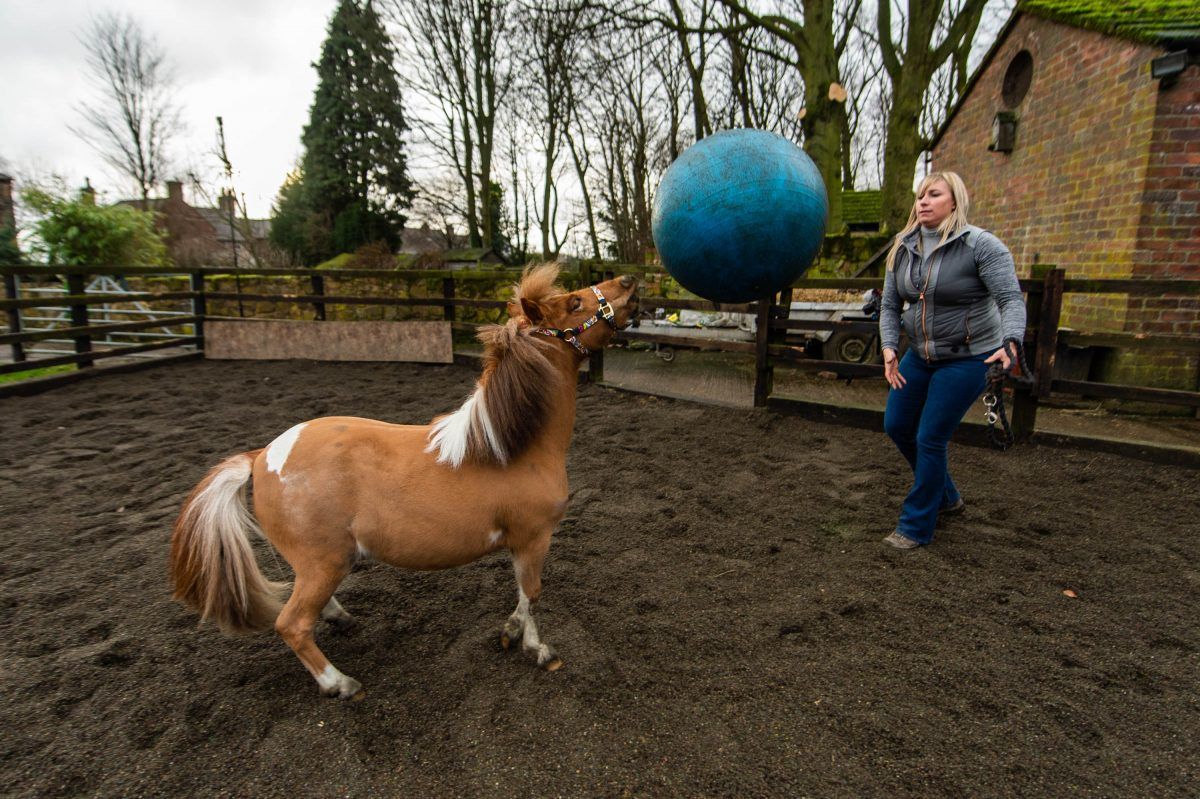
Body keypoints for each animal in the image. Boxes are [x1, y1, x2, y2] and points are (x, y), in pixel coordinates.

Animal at [171, 262, 638, 695]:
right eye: (574, 303)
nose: (629, 281)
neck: (512, 448)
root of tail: (261, 456)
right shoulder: (533, 538)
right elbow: (533, 594)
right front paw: (537, 649)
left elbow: (522, 598)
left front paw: (510, 632)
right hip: (325, 562)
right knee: (292, 623)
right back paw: (340, 683)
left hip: (319, 563)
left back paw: (341, 619)